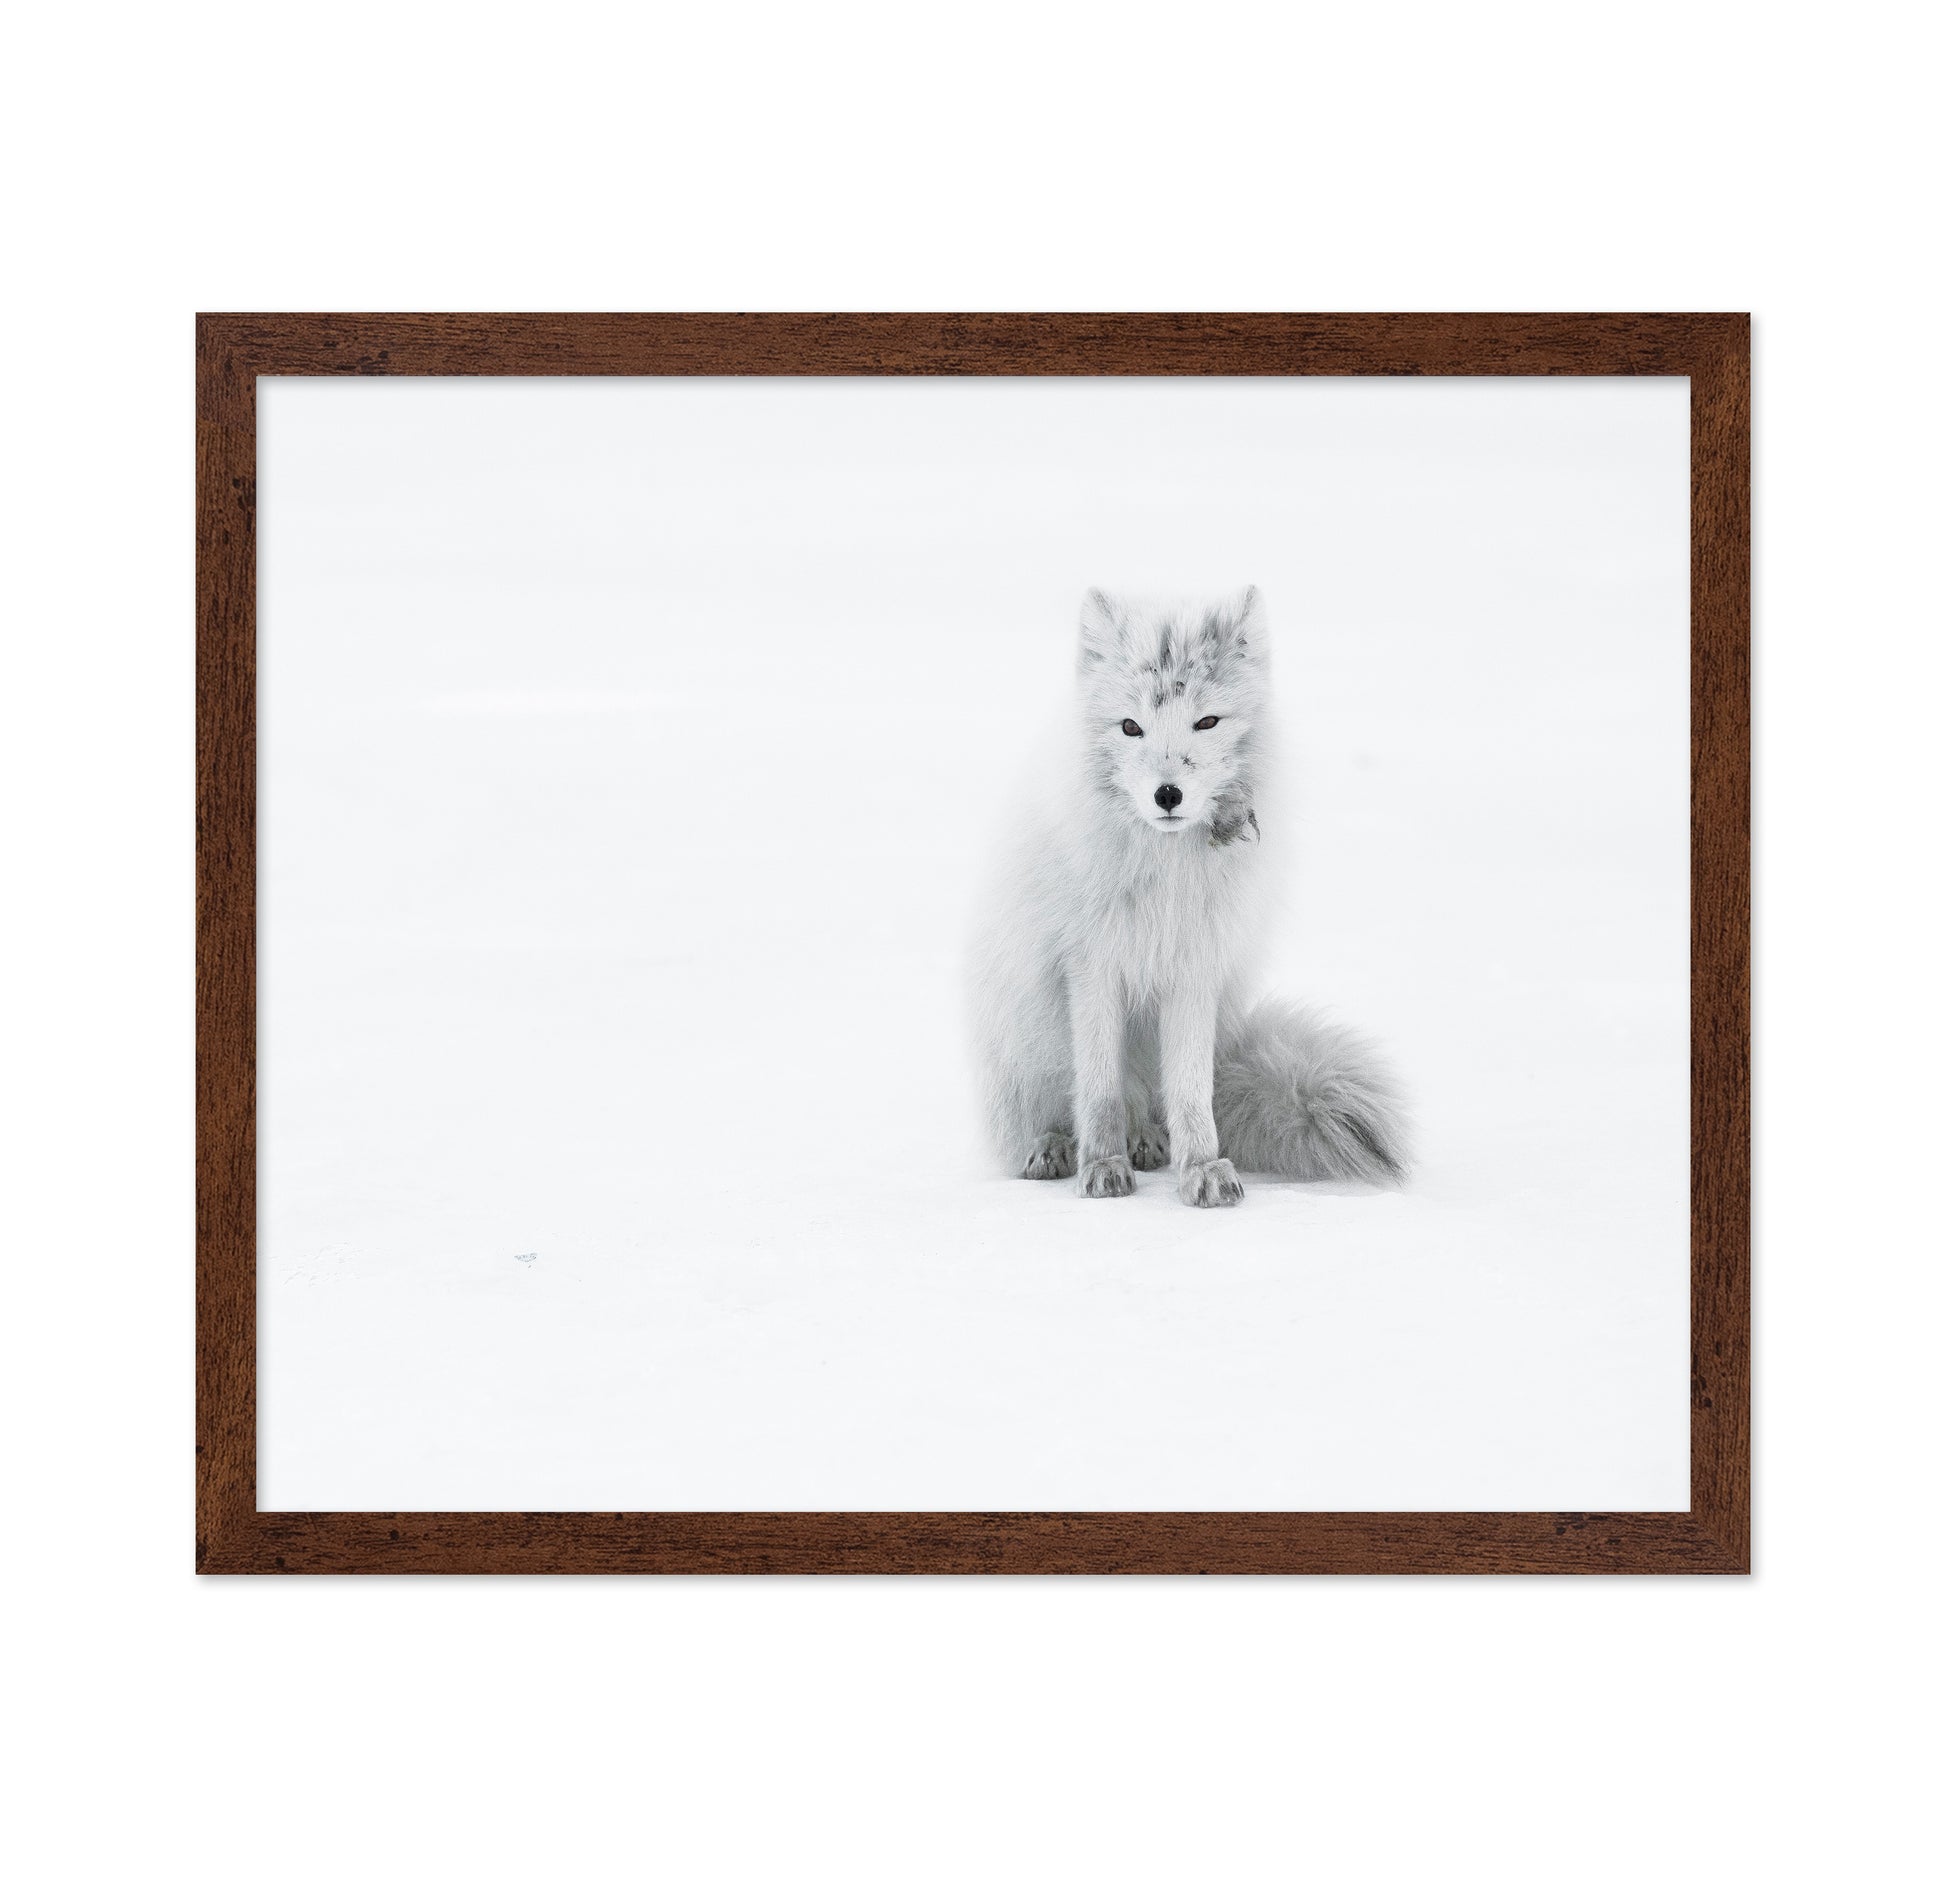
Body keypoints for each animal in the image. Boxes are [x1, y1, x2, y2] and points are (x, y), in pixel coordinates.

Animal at [970, 586, 1409, 1208]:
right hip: (1023, 1037)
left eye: (1206, 722)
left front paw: (1201, 1167)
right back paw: (1054, 1148)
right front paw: (1101, 1166)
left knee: (1154, 1104)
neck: (1164, 877)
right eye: (1131, 727)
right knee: (1057, 1110)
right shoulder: (1091, 968)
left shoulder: (1195, 968)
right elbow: (1098, 1090)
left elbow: (1192, 1094)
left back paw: (1148, 1141)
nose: (1168, 794)